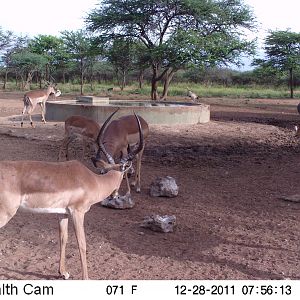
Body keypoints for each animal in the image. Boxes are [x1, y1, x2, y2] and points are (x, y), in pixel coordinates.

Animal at [0, 113, 144, 280]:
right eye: (123, 174)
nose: (116, 195)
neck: (93, 181)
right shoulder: (78, 212)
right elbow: (82, 244)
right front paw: (86, 278)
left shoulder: (63, 213)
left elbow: (63, 238)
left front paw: (63, 272)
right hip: (5, 214)